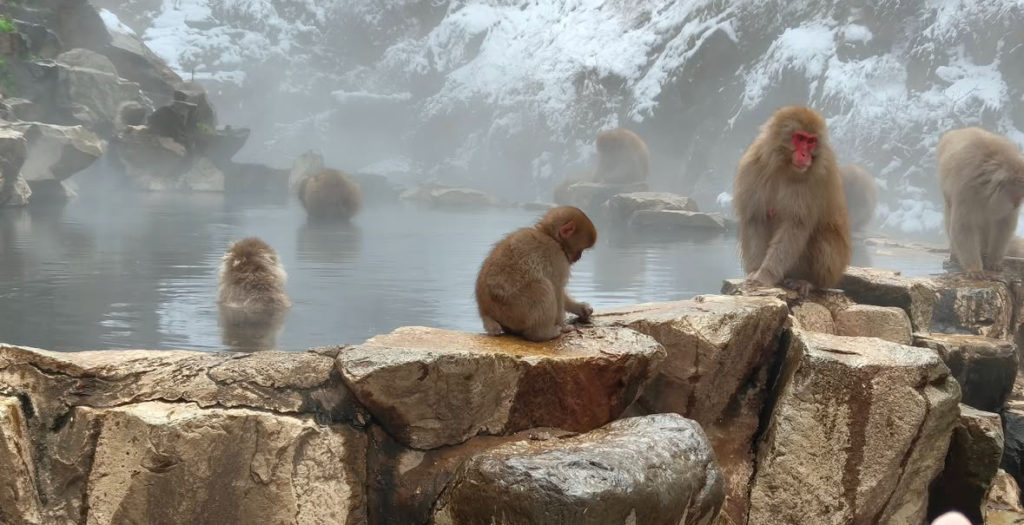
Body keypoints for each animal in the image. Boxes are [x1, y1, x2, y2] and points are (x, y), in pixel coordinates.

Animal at [475, 206, 597, 342]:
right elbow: (557, 288)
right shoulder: (558, 258)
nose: (578, 257)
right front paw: (563, 325)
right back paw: (543, 333)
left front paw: (580, 308)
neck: (550, 236)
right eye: (581, 249)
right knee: (543, 287)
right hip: (515, 309)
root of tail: (485, 310)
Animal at [733, 106, 851, 296]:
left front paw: (765, 275)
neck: (784, 167)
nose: (804, 154)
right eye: (800, 138)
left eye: (811, 141)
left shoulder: (817, 179)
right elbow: (756, 218)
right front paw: (755, 271)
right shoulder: (752, 167)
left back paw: (809, 281)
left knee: (821, 236)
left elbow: (795, 226)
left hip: (834, 266)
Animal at [938, 127, 1024, 277]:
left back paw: (984, 252)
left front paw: (994, 261)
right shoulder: (966, 190)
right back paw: (955, 254)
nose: (1018, 203)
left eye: (1022, 194)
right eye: (1016, 193)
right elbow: (964, 226)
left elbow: (1004, 224)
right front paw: (975, 269)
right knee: (950, 213)